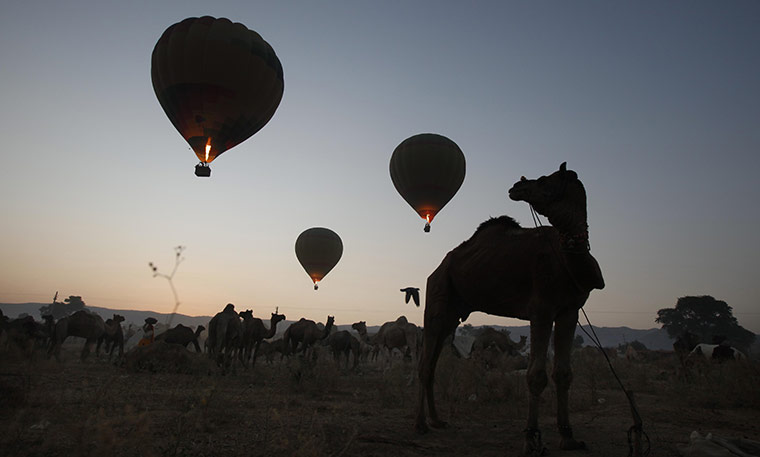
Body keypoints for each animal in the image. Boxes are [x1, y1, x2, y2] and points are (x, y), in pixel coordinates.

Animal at [415, 163, 605, 455]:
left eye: (543, 180)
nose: (517, 186)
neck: (566, 261)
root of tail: (438, 267)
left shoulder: (569, 311)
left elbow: (563, 373)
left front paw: (569, 437)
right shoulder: (541, 309)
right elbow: (536, 375)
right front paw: (532, 439)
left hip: (452, 313)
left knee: (433, 362)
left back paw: (437, 420)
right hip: (438, 293)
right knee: (425, 362)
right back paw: (421, 425)